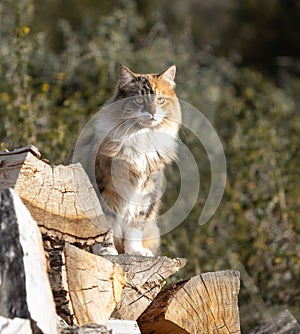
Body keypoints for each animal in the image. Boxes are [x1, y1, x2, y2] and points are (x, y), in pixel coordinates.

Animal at [74, 64, 182, 256]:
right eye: (139, 100)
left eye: (160, 100)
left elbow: (134, 227)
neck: (141, 138)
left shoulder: (145, 192)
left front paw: (135, 251)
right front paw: (107, 251)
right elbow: (107, 226)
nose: (152, 112)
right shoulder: (105, 189)